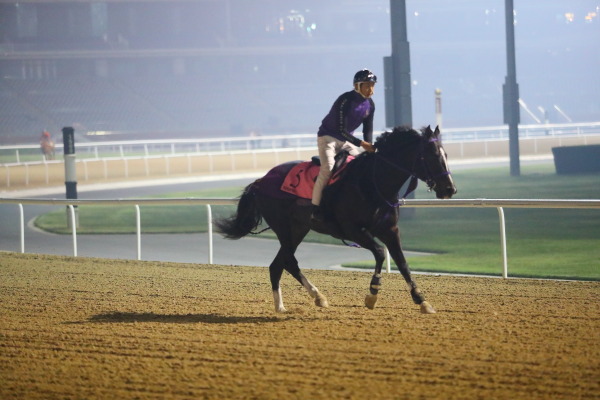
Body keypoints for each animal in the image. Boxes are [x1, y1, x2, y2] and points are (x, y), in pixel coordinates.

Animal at [218, 126, 458, 314]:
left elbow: (403, 263)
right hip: (284, 228)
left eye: (446, 154)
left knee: (278, 264)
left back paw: (288, 305)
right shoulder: (353, 230)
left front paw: (422, 300)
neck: (372, 183)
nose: (450, 189)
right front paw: (372, 294)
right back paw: (312, 297)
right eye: (432, 155)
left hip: (298, 228)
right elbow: (381, 253)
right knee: (288, 262)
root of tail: (260, 180)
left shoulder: (390, 230)